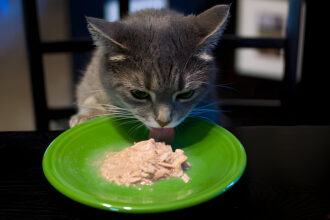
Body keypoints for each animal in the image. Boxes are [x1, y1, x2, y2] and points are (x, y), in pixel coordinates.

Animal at [69, 5, 229, 140]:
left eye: (186, 94)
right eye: (139, 94)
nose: (163, 122)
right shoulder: (89, 83)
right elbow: (89, 98)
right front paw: (88, 115)